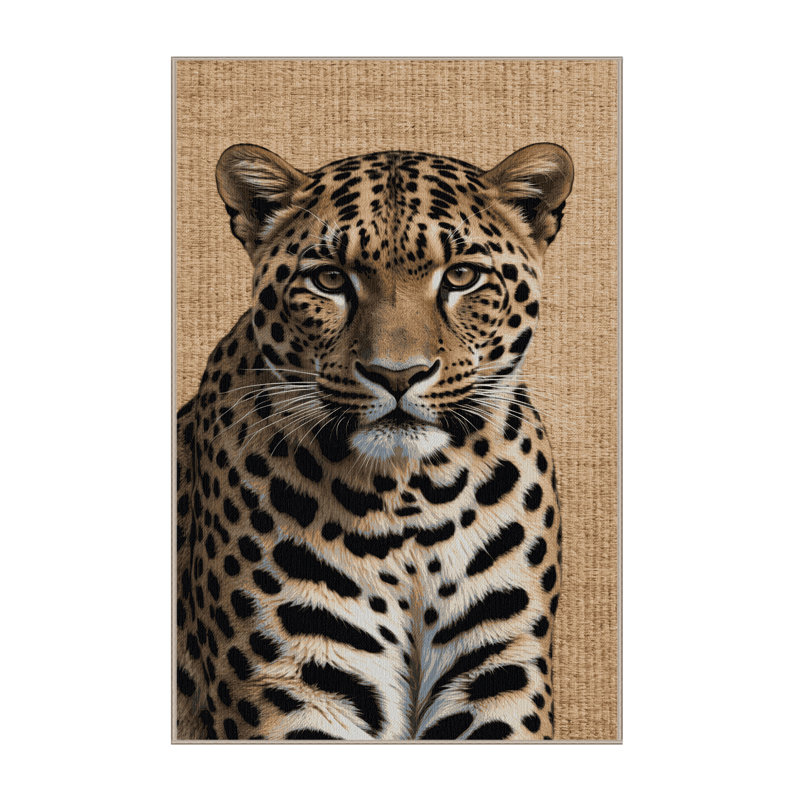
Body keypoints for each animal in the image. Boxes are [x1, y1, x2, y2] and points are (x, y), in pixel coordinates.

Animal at [176, 141, 574, 741]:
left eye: (461, 277)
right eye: (329, 280)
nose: (397, 374)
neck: (413, 497)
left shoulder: (498, 670)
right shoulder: (295, 681)